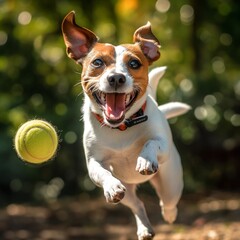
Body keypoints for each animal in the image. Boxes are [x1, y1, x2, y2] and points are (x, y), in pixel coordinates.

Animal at [62, 11, 191, 240]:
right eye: (97, 62)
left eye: (134, 64)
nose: (116, 78)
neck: (121, 127)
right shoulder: (93, 162)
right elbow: (102, 173)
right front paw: (112, 186)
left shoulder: (162, 145)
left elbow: (150, 143)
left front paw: (145, 160)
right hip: (128, 192)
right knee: (137, 203)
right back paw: (145, 228)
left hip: (171, 182)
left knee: (167, 202)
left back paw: (169, 214)